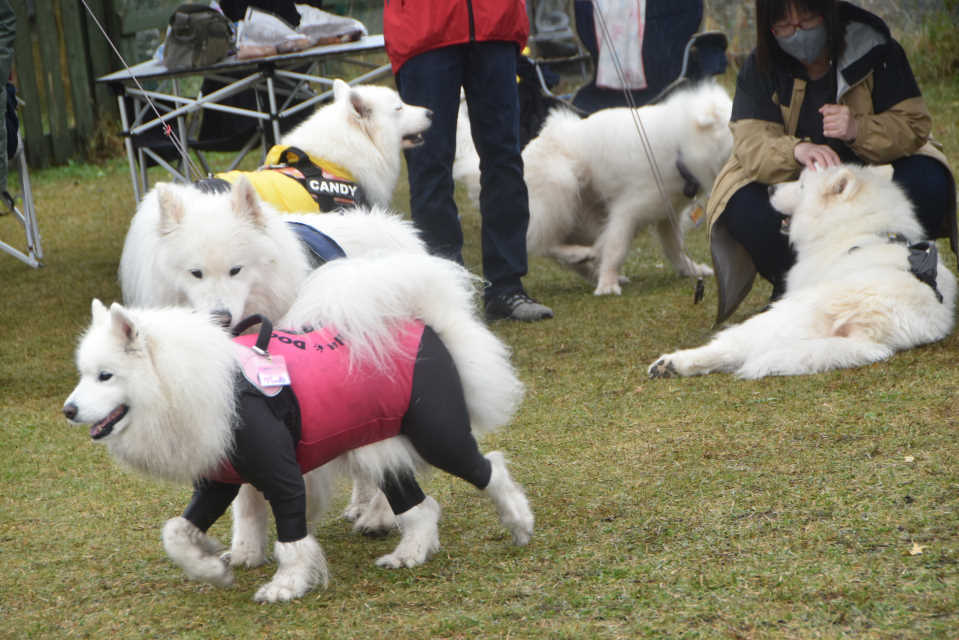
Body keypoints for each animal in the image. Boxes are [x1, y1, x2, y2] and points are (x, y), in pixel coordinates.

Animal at [63, 252, 536, 604]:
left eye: (105, 376)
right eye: (83, 375)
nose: (68, 410)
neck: (192, 379)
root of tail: (426, 325)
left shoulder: (282, 476)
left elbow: (291, 539)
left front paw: (286, 585)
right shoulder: (219, 479)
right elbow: (177, 533)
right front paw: (212, 568)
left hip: (438, 436)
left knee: (489, 468)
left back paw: (518, 521)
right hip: (382, 446)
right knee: (420, 508)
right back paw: (409, 555)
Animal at [648, 162, 956, 380]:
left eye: (803, 184)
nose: (769, 189)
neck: (860, 228)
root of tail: (869, 325)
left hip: (776, 321)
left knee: (729, 349)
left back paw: (670, 363)